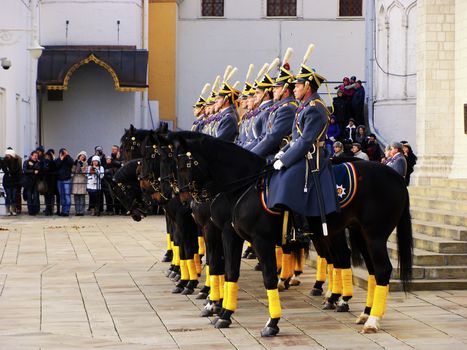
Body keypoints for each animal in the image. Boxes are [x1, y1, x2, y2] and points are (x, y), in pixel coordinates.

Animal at [168, 131, 414, 336]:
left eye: (184, 164)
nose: (183, 199)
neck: (245, 187)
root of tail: (396, 176)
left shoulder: (258, 240)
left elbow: (267, 277)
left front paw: (272, 322)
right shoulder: (230, 235)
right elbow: (228, 272)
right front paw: (225, 313)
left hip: (374, 235)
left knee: (381, 269)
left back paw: (371, 319)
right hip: (359, 233)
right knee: (369, 269)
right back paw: (364, 312)